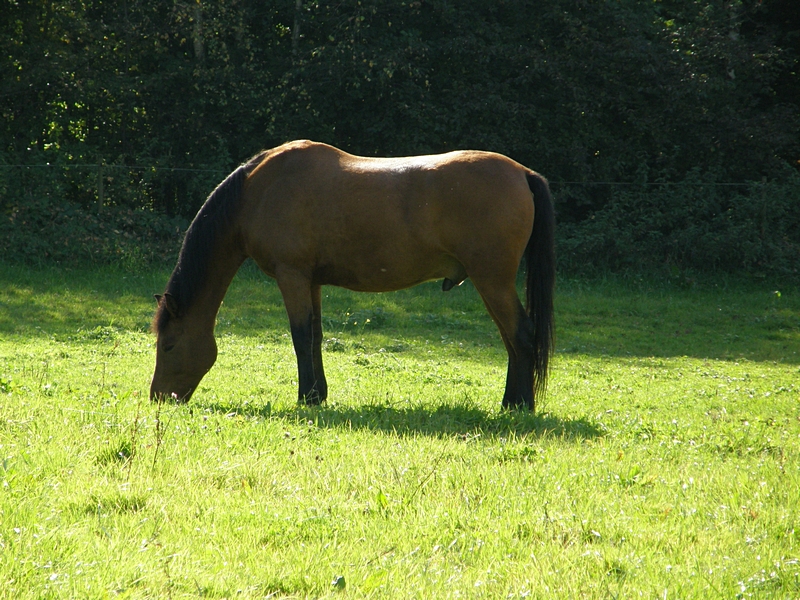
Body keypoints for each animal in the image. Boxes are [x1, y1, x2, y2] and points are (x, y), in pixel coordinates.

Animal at [150, 141, 552, 410]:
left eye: (168, 345)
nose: (158, 397)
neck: (257, 192)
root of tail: (522, 173)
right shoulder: (310, 281)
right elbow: (314, 336)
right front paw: (316, 394)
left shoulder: (291, 275)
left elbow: (299, 336)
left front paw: (305, 398)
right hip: (491, 284)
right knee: (512, 341)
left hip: (493, 281)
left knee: (521, 336)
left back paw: (519, 405)